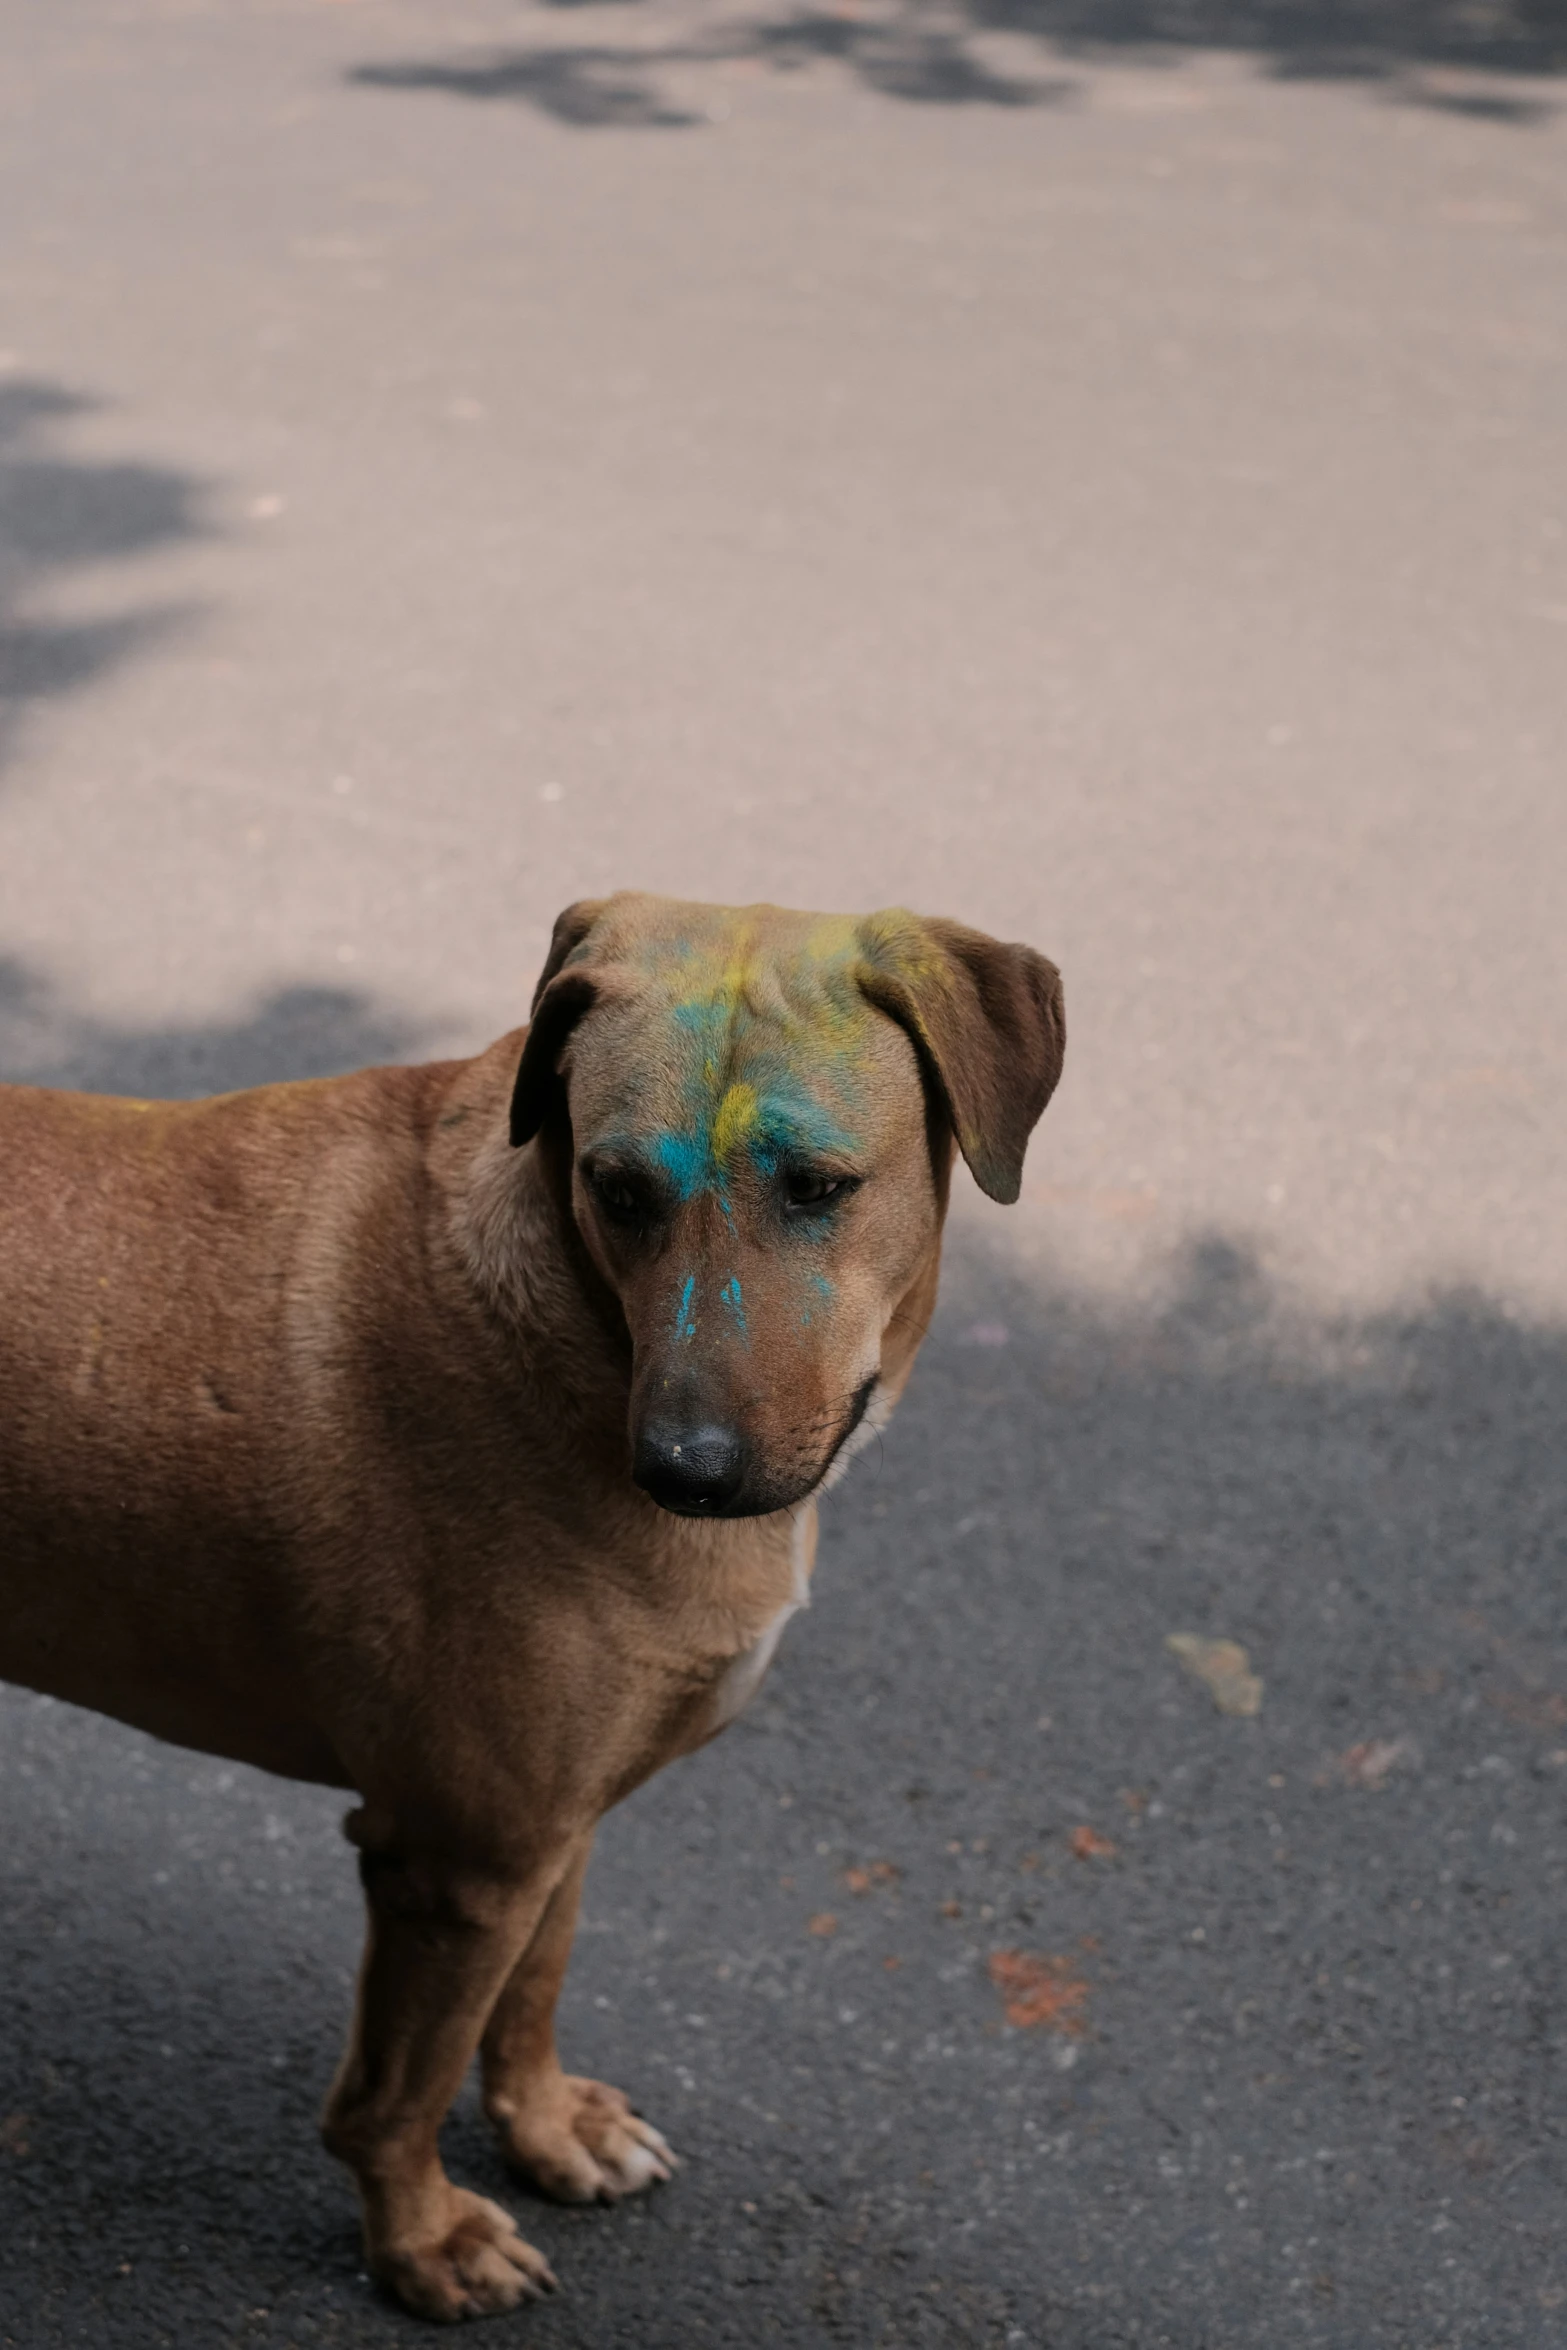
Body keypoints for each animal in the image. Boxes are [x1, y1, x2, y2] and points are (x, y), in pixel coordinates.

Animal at [0, 888, 1066, 2321]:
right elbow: (396, 2093)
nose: (683, 1473)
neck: (578, 1323)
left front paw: (549, 2130)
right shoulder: (457, 1860)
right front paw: (420, 2239)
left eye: (817, 1187)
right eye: (616, 1189)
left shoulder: (555, 1825)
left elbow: (531, 1996)